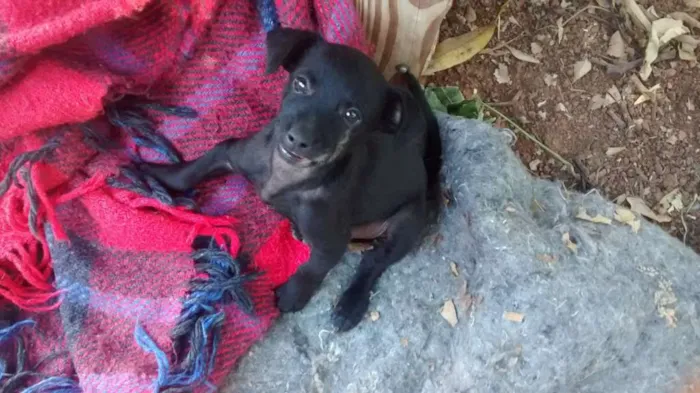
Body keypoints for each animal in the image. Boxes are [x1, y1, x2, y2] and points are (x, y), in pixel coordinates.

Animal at [140, 26, 440, 330]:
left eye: (351, 115)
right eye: (301, 84)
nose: (299, 139)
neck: (288, 173)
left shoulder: (331, 243)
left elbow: (313, 268)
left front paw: (294, 294)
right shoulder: (229, 152)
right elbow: (192, 171)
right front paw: (153, 175)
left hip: (406, 225)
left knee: (375, 262)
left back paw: (352, 303)